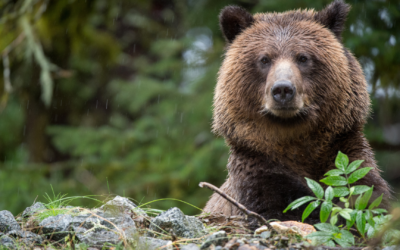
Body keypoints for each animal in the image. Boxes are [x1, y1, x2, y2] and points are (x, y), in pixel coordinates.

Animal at [205, 0, 392, 223]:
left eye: (303, 57)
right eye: (264, 59)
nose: (283, 89)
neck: (295, 139)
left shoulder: (345, 150)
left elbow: (368, 194)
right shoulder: (257, 165)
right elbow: (280, 206)